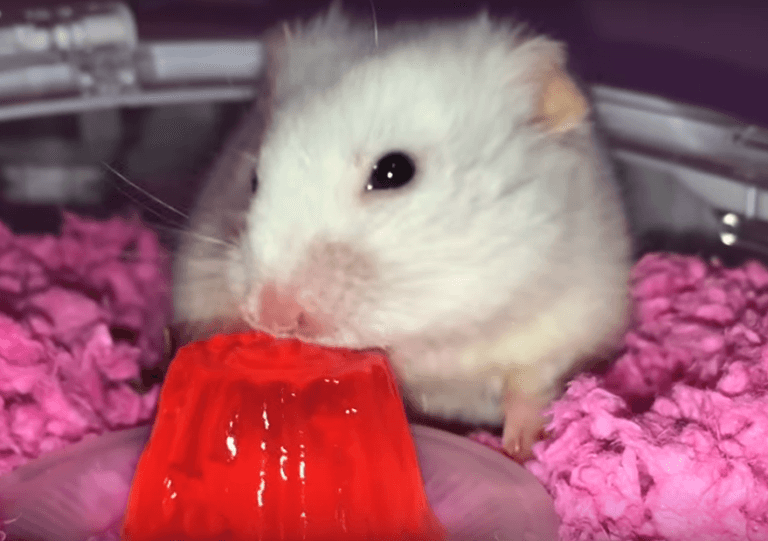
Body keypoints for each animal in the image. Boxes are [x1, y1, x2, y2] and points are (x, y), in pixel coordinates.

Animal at [173, 3, 631, 460]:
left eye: (394, 170)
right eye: (253, 178)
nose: (270, 316)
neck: (431, 332)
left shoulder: (570, 318)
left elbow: (530, 382)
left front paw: (520, 448)